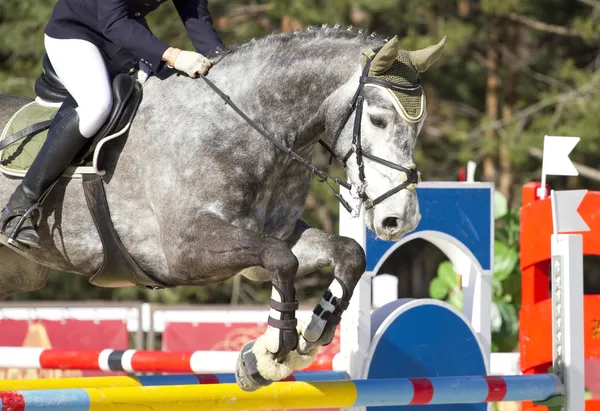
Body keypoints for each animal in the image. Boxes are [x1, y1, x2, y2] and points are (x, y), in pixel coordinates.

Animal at [0, 28, 442, 390]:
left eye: (419, 127)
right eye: (379, 120)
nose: (400, 220)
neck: (247, 126)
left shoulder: (273, 237)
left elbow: (349, 254)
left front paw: (313, 330)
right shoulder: (183, 253)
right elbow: (281, 260)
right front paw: (271, 350)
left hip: (19, 275)